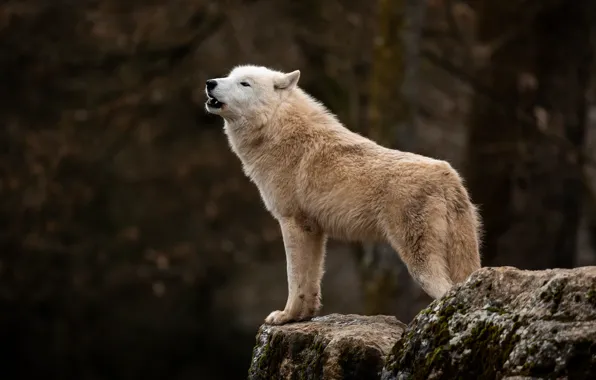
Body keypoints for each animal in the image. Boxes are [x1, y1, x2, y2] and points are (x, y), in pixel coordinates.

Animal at [205, 64, 484, 324]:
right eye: (229, 76)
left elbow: (294, 278)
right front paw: (303, 316)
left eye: (244, 83)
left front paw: (285, 316)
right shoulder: (314, 230)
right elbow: (311, 281)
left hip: (419, 264)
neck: (277, 129)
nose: (209, 82)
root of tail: (448, 176)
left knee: (445, 290)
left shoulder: (291, 222)